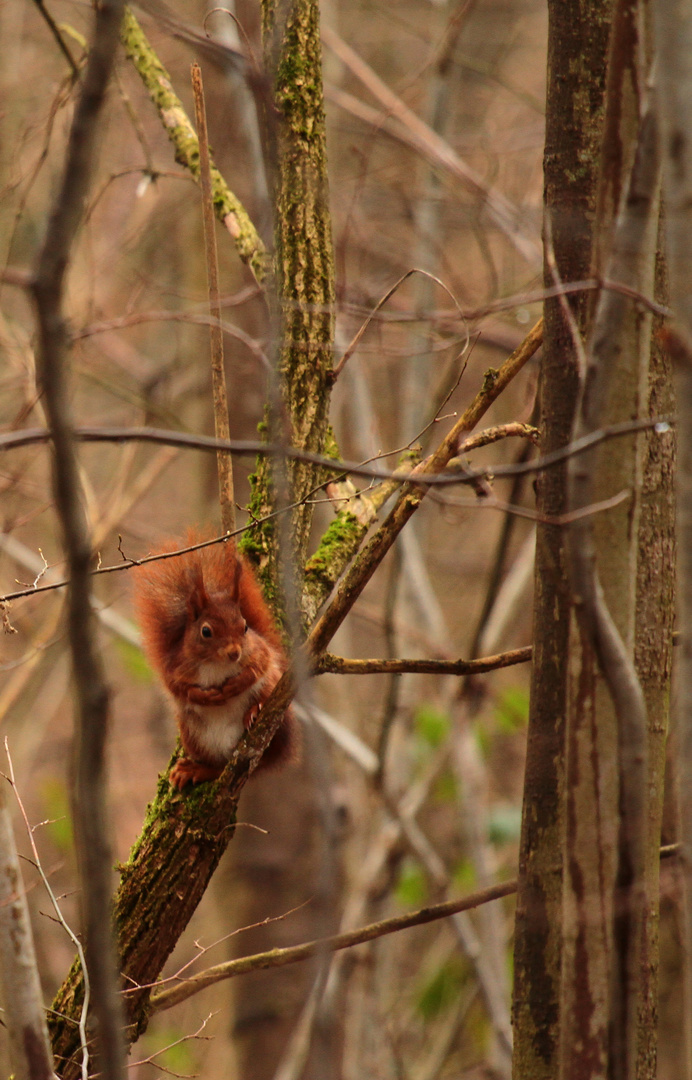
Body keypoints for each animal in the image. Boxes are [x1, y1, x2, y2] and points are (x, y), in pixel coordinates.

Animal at [132, 535, 293, 790]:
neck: (216, 664)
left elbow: (259, 666)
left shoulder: (258, 650)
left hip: (275, 709)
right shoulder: (177, 666)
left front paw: (236, 684)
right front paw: (204, 696)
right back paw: (194, 770)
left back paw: (254, 711)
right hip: (194, 738)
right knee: (218, 769)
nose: (234, 653)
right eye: (206, 631)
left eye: (245, 627)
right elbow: (178, 687)